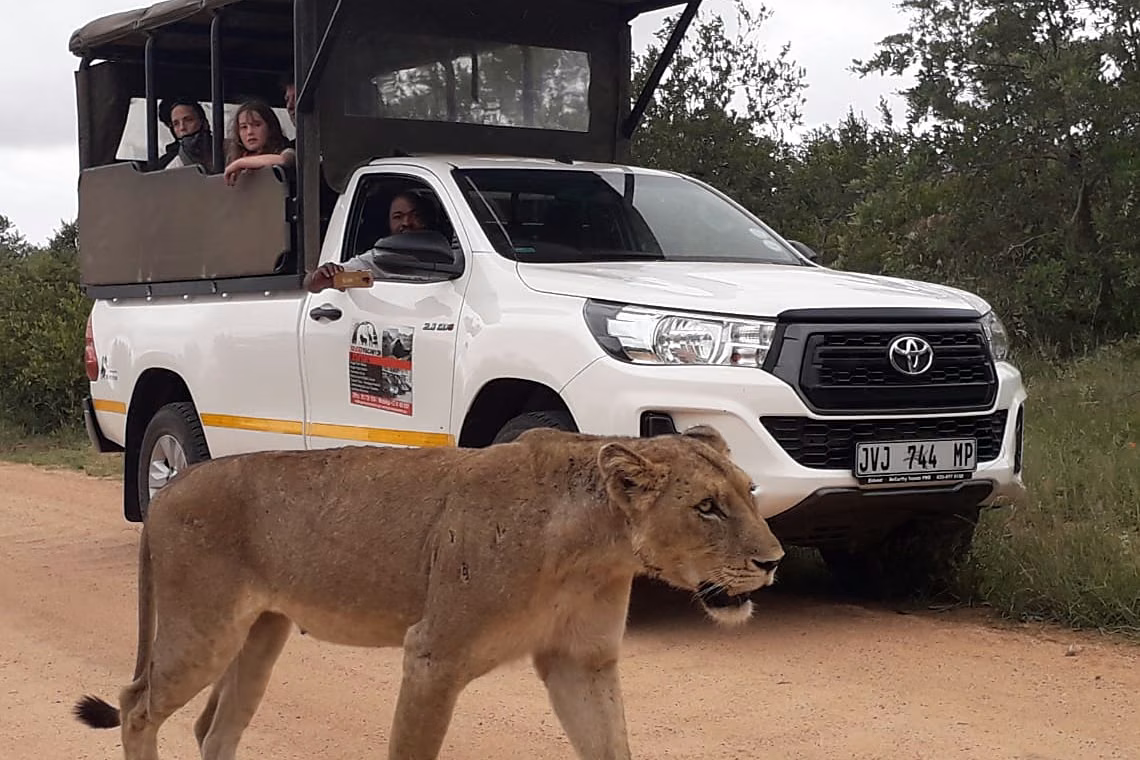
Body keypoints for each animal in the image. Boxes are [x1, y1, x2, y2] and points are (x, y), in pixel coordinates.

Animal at [72, 425, 784, 760]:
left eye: (750, 492)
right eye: (707, 507)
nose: (774, 562)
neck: (593, 550)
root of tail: (171, 485)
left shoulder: (580, 661)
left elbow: (611, 745)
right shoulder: (432, 656)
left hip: (260, 636)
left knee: (212, 728)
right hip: (204, 628)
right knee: (136, 705)